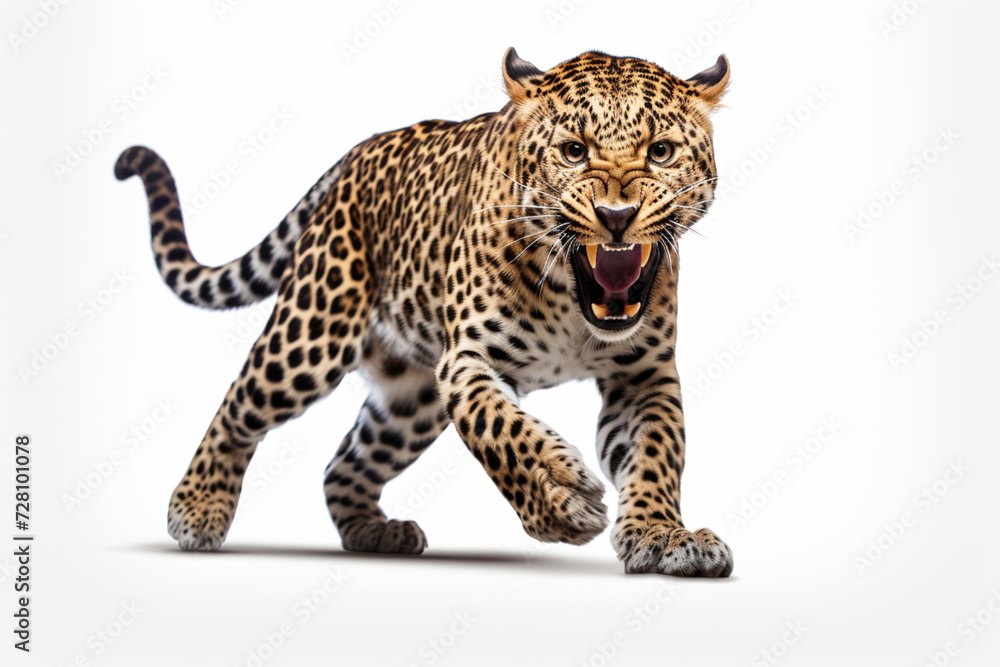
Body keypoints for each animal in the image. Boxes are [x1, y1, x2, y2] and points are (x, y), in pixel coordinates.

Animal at [115, 48, 734, 577]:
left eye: (660, 152)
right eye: (574, 151)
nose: (616, 215)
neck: (571, 304)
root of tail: (358, 152)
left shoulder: (643, 375)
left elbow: (656, 455)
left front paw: (663, 536)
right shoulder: (467, 361)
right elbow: (500, 429)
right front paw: (561, 498)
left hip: (408, 401)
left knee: (344, 465)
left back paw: (375, 533)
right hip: (311, 335)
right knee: (240, 404)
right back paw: (197, 508)